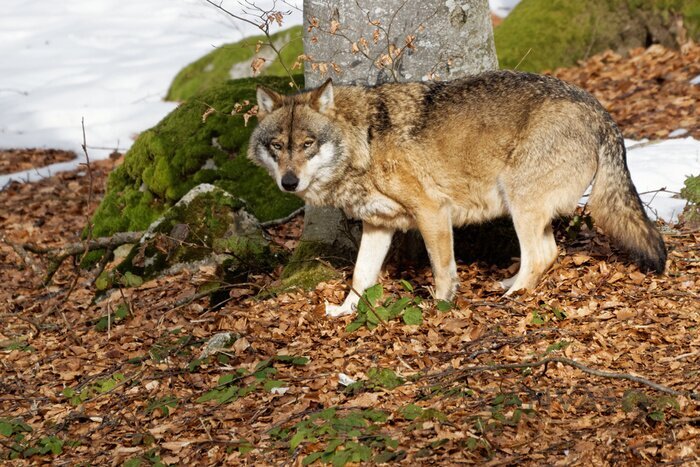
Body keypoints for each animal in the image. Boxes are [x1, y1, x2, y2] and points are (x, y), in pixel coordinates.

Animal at [247, 70, 668, 318]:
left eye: (307, 144)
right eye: (277, 146)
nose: (289, 182)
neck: (365, 141)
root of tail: (600, 110)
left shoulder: (432, 212)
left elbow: (442, 269)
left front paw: (440, 306)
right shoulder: (378, 225)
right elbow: (360, 276)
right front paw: (346, 311)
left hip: (519, 201)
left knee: (543, 255)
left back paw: (512, 297)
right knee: (546, 253)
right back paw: (508, 285)